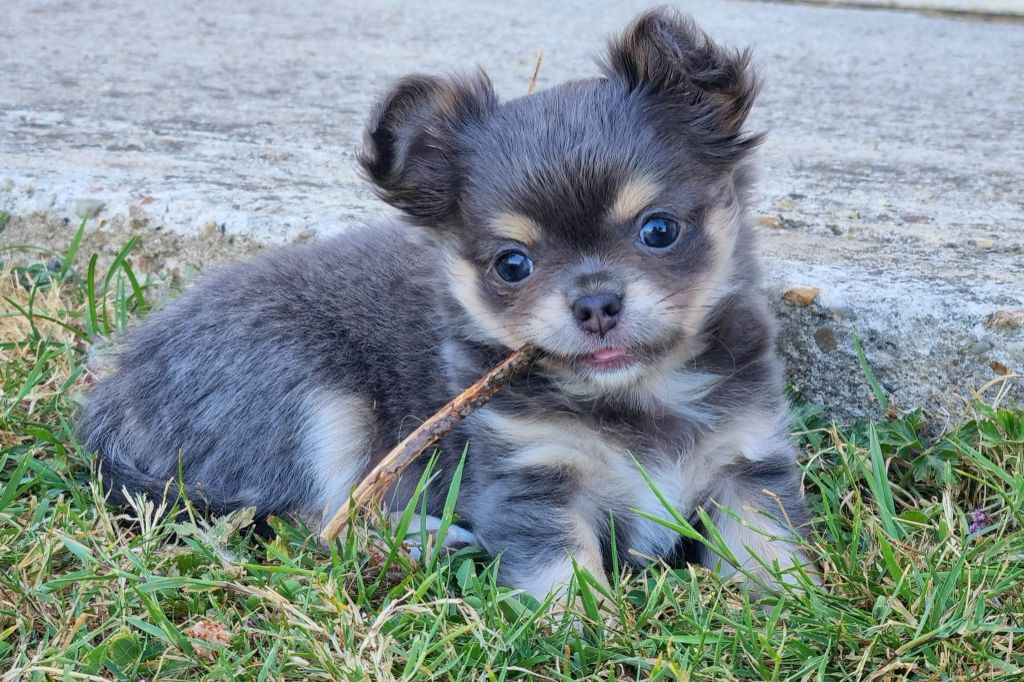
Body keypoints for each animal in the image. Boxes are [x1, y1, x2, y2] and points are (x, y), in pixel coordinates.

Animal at [77, 7, 815, 598]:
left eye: (659, 230)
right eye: (512, 265)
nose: (596, 303)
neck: (639, 394)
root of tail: (120, 383)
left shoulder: (749, 462)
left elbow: (768, 548)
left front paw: (782, 608)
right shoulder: (532, 479)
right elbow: (561, 570)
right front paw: (580, 630)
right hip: (312, 401)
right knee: (317, 523)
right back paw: (427, 540)